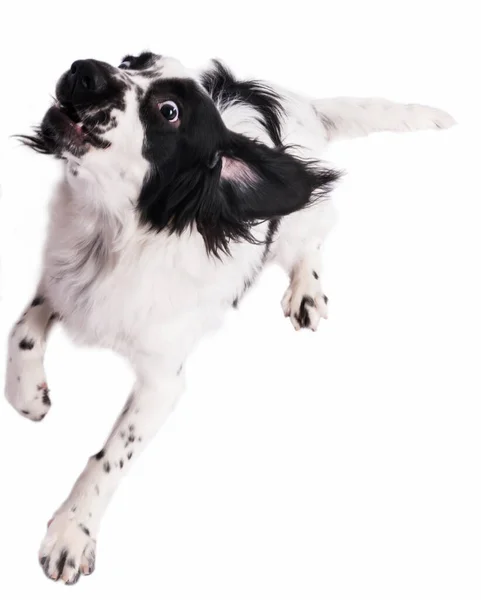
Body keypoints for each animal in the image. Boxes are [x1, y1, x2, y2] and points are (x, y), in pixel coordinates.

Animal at [4, 52, 454, 584]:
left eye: (169, 111)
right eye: (131, 60)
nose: (83, 70)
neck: (115, 236)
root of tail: (303, 104)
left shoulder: (163, 381)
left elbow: (112, 455)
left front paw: (74, 530)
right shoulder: (63, 280)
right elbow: (23, 329)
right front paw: (29, 394)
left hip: (296, 224)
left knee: (317, 234)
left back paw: (306, 289)